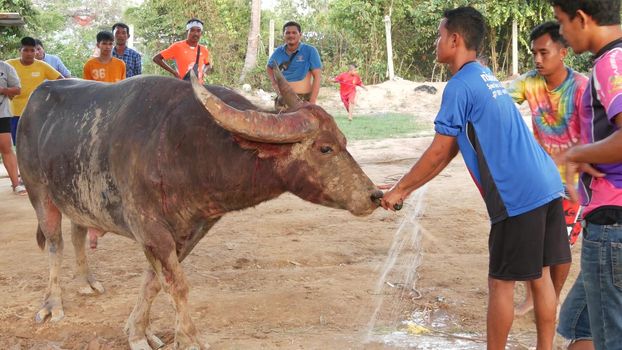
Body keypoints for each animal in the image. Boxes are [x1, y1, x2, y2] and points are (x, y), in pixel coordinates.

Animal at [17, 70, 382, 348]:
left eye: (344, 141)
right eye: (325, 148)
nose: (375, 195)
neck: (184, 148)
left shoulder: (192, 229)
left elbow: (154, 282)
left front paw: (139, 331)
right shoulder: (149, 227)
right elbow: (176, 284)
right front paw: (188, 339)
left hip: (75, 197)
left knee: (78, 232)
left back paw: (86, 281)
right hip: (40, 193)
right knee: (55, 244)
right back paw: (52, 304)